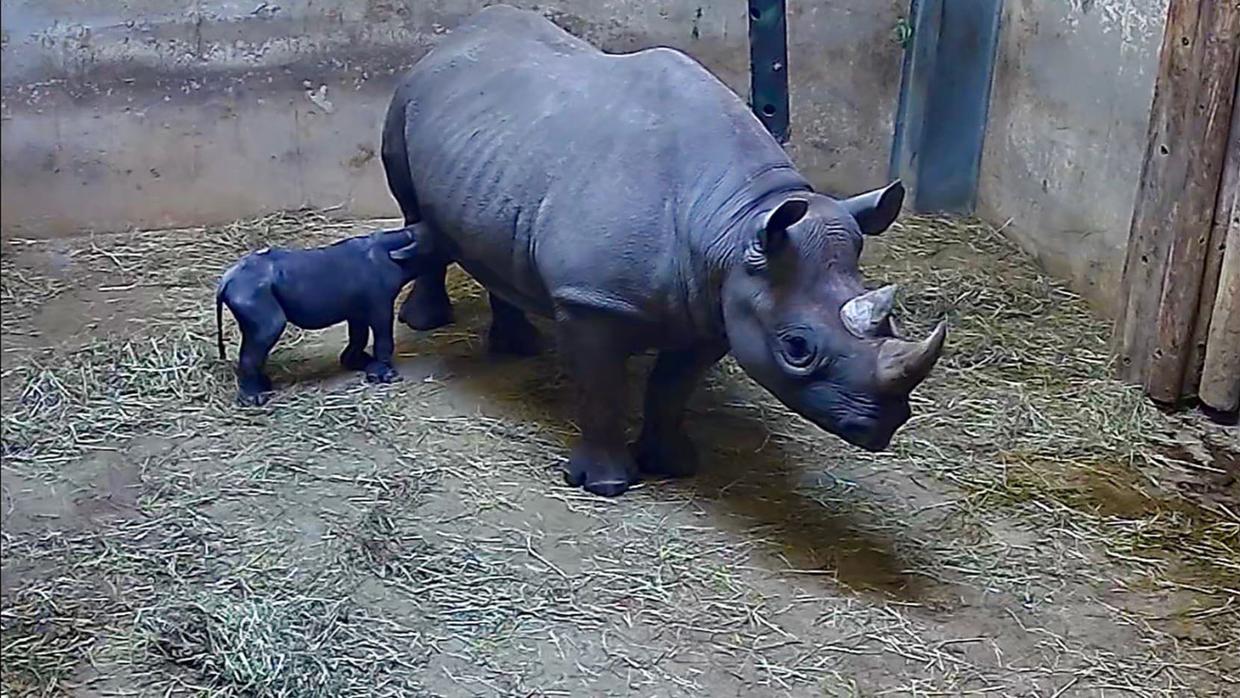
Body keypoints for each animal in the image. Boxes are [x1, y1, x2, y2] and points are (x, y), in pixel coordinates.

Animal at [210, 226, 429, 406]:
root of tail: (226, 280)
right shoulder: (379, 302)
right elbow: (383, 333)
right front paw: (387, 374)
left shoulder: (357, 308)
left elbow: (358, 334)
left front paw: (358, 362)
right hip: (250, 294)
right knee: (268, 329)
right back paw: (254, 399)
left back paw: (262, 386)